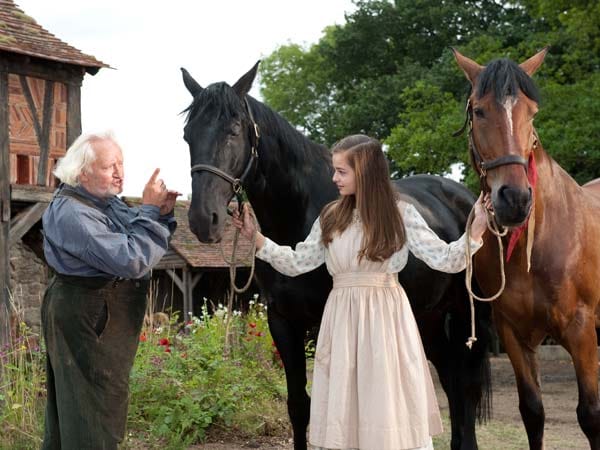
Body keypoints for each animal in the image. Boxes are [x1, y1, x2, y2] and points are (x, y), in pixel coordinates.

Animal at [180, 63, 490, 450]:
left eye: (233, 130)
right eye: (188, 135)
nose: (202, 219)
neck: (300, 212)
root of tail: (460, 196)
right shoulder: (283, 322)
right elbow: (299, 406)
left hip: (465, 315)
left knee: (467, 388)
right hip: (431, 318)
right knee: (452, 384)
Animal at [452, 47, 600, 448]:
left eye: (531, 112)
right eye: (478, 110)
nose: (515, 199)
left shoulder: (581, 329)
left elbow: (590, 414)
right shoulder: (513, 333)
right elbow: (532, 411)